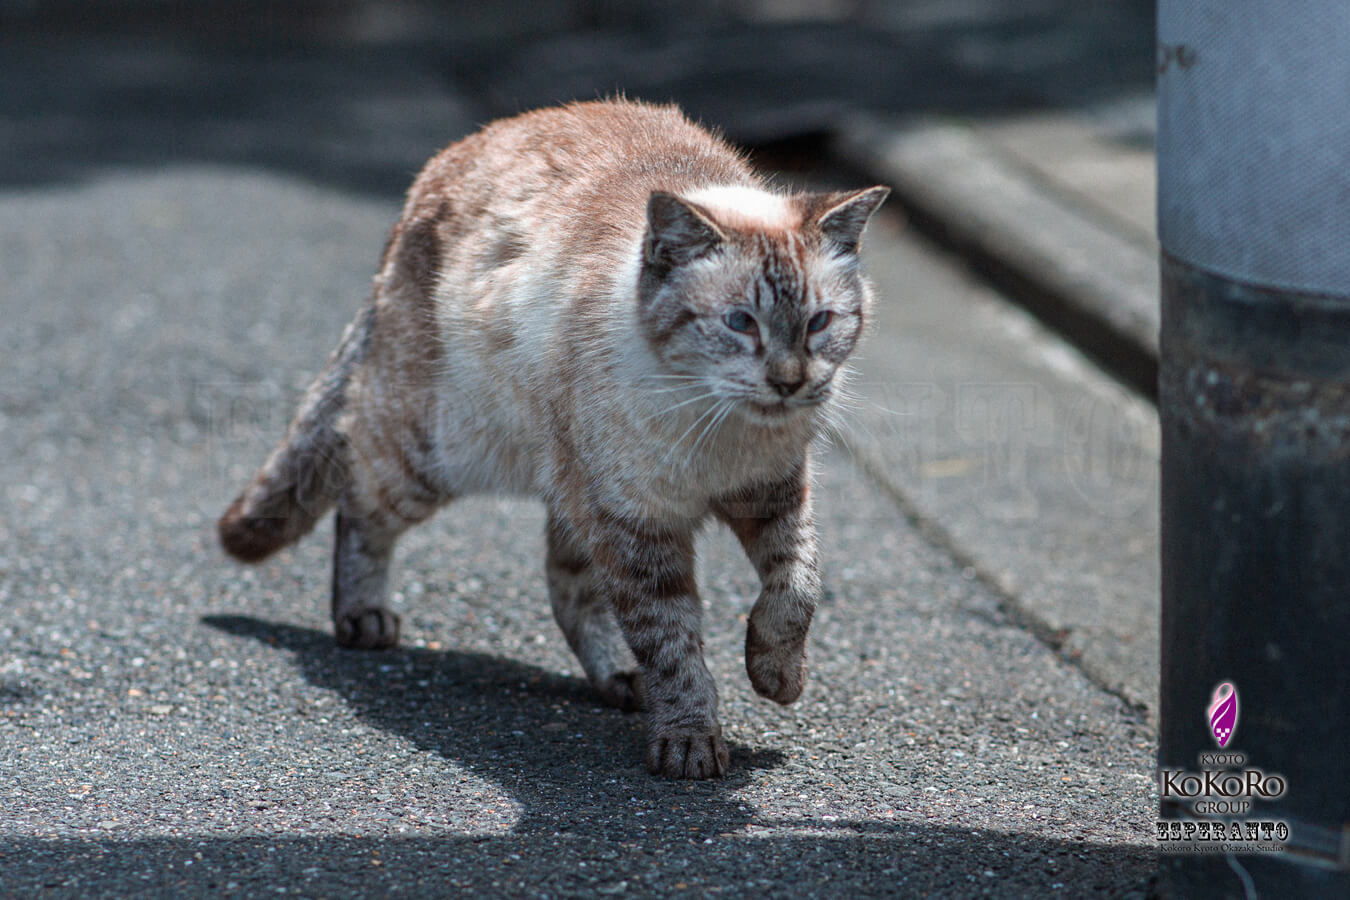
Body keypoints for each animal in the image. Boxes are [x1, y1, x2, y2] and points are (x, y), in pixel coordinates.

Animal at [217, 97, 891, 777]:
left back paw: (620, 679)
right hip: (438, 455)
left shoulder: (774, 495)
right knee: (358, 500)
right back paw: (363, 618)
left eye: (820, 323)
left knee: (566, 587)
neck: (716, 427)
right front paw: (690, 742)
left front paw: (776, 678)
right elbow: (672, 643)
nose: (788, 381)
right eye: (739, 322)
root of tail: (428, 181)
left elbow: (797, 589)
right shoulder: (637, 527)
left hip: (566, 486)